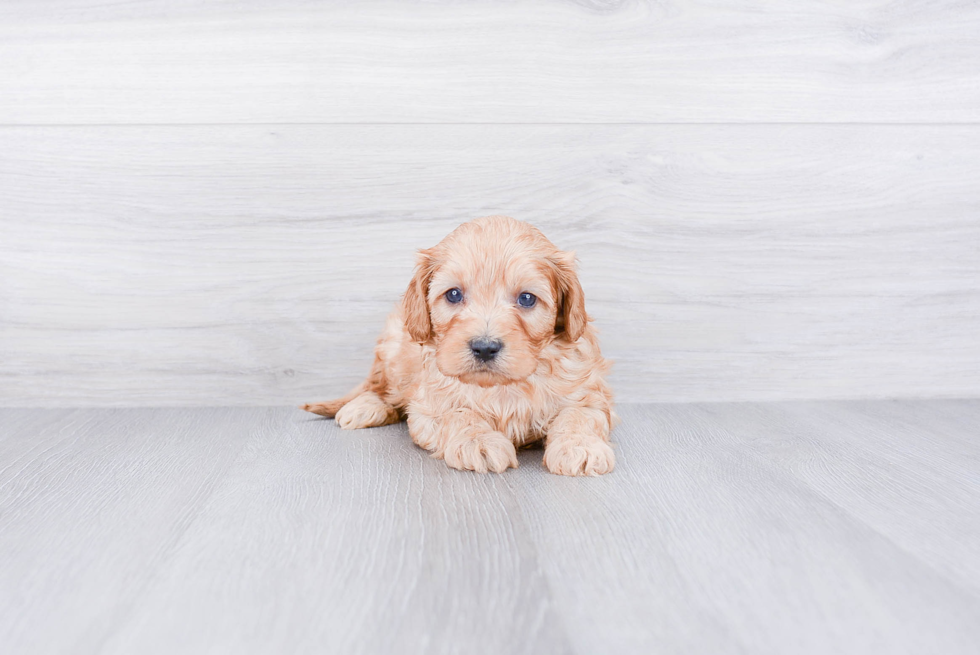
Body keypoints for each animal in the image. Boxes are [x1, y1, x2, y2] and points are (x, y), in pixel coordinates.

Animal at [302, 217, 616, 476]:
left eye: (527, 298)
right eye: (453, 294)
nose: (485, 347)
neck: (502, 387)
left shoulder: (589, 391)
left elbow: (581, 414)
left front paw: (580, 446)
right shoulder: (428, 407)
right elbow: (457, 413)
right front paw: (478, 441)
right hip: (394, 352)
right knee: (380, 388)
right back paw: (365, 407)